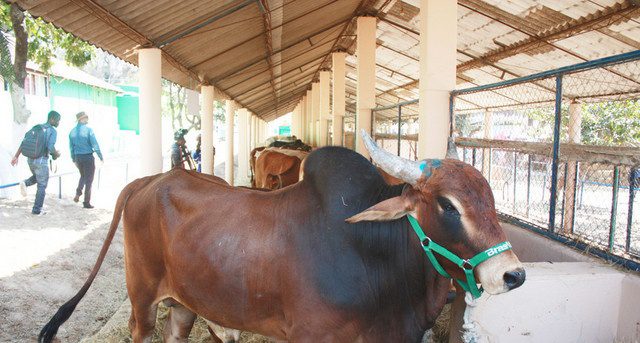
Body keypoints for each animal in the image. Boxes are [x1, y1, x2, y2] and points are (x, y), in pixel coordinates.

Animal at [38, 130, 524, 343]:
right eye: (448, 206)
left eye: (490, 197)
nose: (513, 275)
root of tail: (150, 179)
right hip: (142, 300)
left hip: (184, 303)